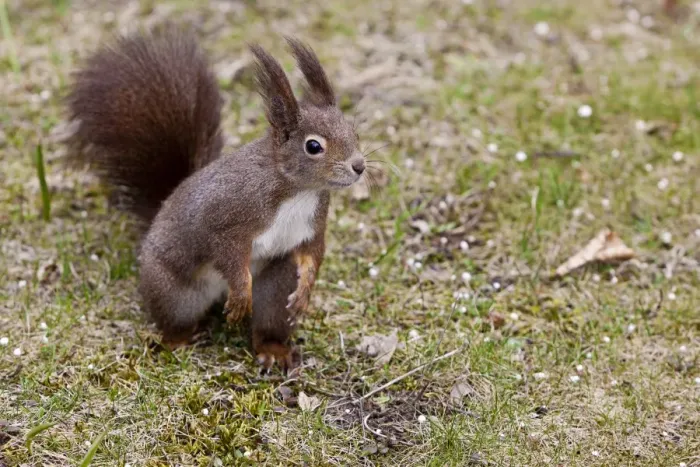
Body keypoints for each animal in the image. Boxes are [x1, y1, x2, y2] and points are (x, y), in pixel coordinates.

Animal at [65, 26, 365, 372]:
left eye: (354, 132)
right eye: (313, 146)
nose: (359, 166)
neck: (298, 190)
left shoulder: (313, 224)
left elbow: (311, 253)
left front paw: (306, 290)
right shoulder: (227, 214)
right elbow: (228, 253)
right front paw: (241, 294)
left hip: (276, 287)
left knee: (270, 318)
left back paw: (273, 349)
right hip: (173, 292)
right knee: (176, 320)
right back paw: (177, 340)